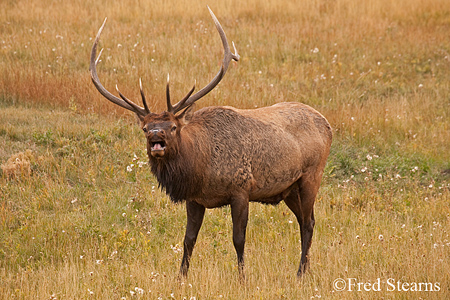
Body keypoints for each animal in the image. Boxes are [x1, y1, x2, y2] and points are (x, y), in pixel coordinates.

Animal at [90, 7, 330, 278]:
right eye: (144, 128)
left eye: (174, 126)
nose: (156, 136)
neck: (201, 167)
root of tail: (327, 124)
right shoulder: (195, 199)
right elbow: (188, 240)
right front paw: (181, 278)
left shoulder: (241, 189)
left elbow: (238, 239)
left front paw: (242, 278)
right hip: (288, 188)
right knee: (305, 220)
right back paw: (304, 268)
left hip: (311, 175)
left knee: (308, 222)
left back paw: (300, 273)